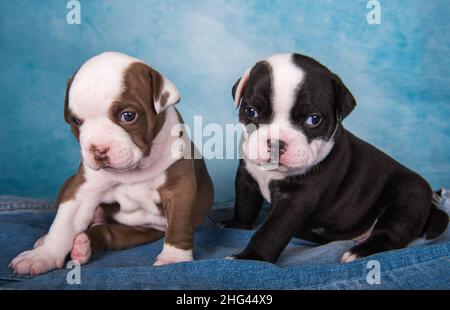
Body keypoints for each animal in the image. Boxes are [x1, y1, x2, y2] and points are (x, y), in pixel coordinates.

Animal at [9, 52, 214, 274]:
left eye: (128, 115)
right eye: (76, 121)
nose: (98, 149)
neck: (136, 169)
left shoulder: (179, 189)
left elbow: (179, 223)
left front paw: (173, 259)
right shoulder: (82, 190)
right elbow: (63, 224)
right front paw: (44, 255)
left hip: (140, 231)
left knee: (111, 235)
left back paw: (83, 246)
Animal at [227, 54, 448, 264]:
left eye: (313, 119)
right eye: (251, 111)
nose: (276, 142)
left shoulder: (295, 199)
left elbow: (271, 231)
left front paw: (250, 258)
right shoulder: (246, 177)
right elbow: (245, 205)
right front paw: (235, 225)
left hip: (409, 195)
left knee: (391, 233)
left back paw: (359, 252)